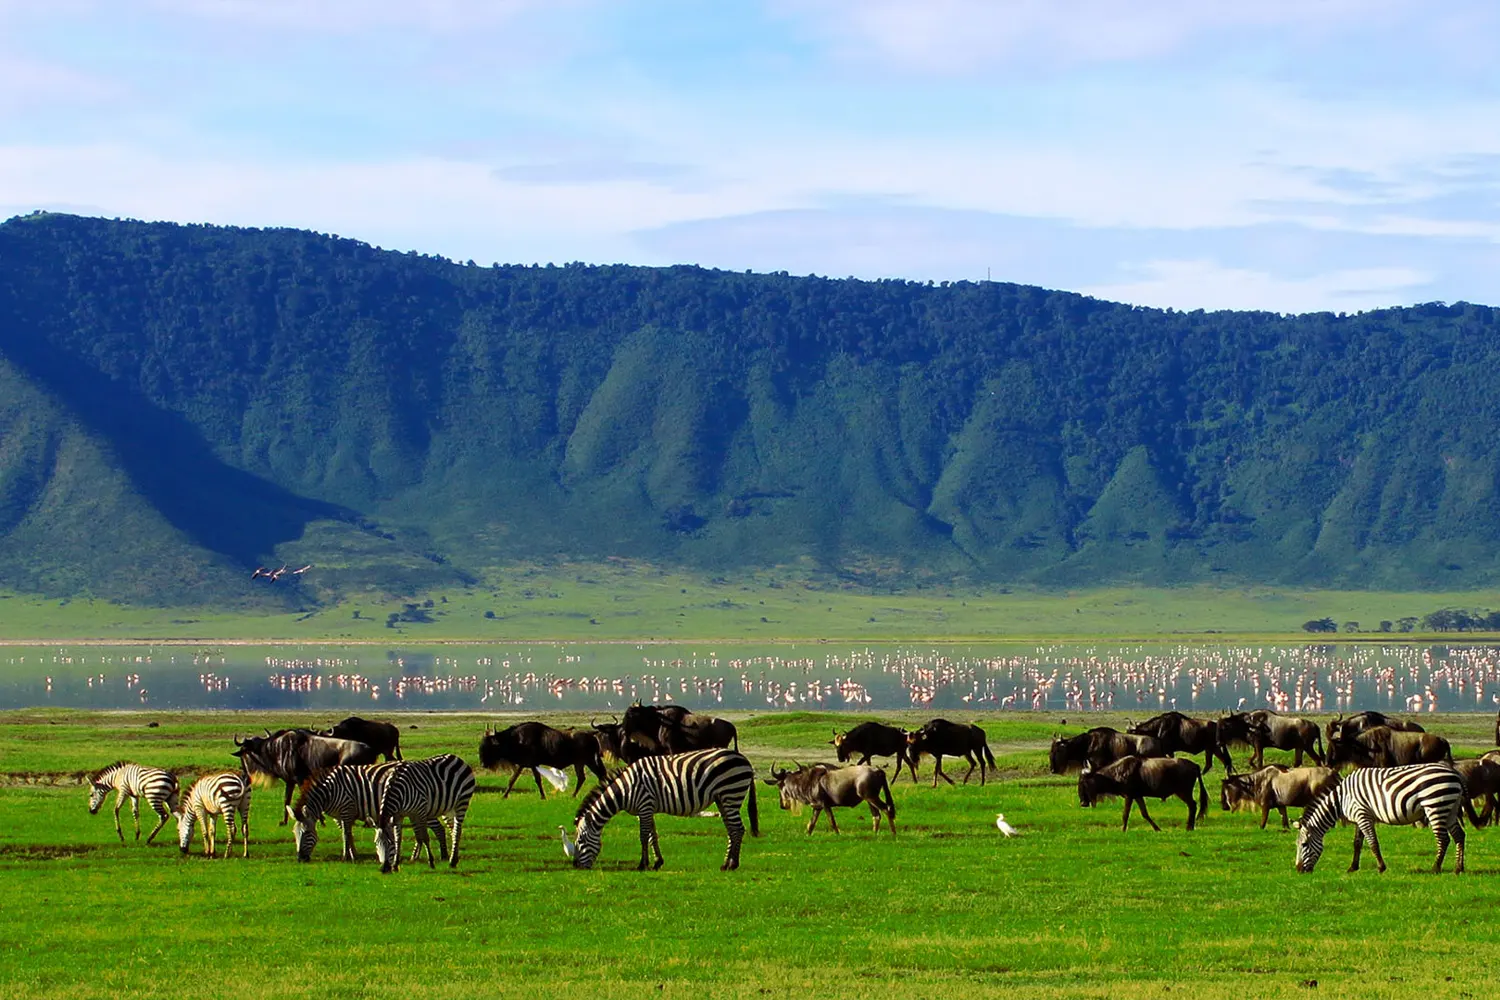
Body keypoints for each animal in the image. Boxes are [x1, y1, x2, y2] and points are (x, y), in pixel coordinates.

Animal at [292, 761, 444, 863]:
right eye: (294, 833)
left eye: (306, 833)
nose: (300, 859)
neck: (329, 791)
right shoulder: (342, 815)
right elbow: (348, 834)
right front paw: (354, 854)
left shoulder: (346, 809)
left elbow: (345, 834)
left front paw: (346, 857)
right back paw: (417, 857)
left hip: (420, 808)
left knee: (437, 828)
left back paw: (442, 855)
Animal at [573, 746, 762, 869]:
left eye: (580, 841)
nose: (575, 866)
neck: (626, 789)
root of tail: (745, 760)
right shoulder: (646, 809)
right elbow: (652, 836)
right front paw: (657, 862)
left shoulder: (645, 804)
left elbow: (643, 836)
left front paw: (642, 865)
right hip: (723, 799)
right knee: (731, 829)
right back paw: (726, 863)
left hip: (731, 794)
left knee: (737, 829)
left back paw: (732, 864)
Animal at [1290, 767, 1464, 875]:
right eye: (1297, 845)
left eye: (1304, 845)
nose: (1299, 870)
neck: (1341, 799)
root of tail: (1455, 774)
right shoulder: (1359, 817)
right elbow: (1357, 843)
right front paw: (1353, 867)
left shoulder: (1363, 815)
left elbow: (1372, 842)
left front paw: (1381, 867)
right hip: (1450, 809)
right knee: (1459, 836)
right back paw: (1458, 868)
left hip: (1435, 805)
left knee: (1443, 839)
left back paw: (1435, 868)